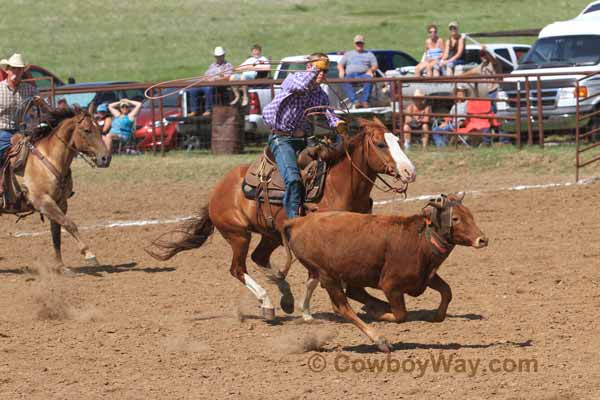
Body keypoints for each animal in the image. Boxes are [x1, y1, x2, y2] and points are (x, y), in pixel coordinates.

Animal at [0, 106, 110, 274]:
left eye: (99, 128)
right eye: (86, 130)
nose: (106, 158)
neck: (49, 159)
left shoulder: (60, 203)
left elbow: (57, 232)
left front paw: (61, 267)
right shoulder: (44, 202)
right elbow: (70, 224)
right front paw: (89, 254)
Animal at [148, 118, 414, 318]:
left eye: (397, 141)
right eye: (380, 144)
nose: (409, 171)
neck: (337, 187)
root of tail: (218, 190)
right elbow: (317, 275)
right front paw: (308, 309)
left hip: (271, 234)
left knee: (259, 257)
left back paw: (284, 295)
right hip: (238, 235)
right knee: (238, 269)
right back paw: (267, 303)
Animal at [282, 195, 488, 354]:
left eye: (470, 215)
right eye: (456, 219)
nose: (483, 239)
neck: (421, 239)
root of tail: (298, 222)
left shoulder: (425, 277)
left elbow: (447, 291)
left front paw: (435, 315)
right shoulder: (391, 286)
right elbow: (401, 315)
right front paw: (378, 314)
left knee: (350, 297)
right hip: (327, 274)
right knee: (343, 307)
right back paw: (380, 338)